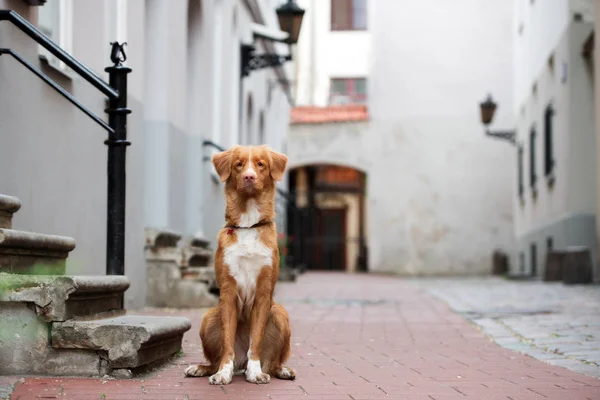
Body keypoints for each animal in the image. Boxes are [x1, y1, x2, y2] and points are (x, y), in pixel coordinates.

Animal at [184, 146, 294, 384]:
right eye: (238, 164)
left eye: (260, 164)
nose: (249, 177)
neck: (248, 226)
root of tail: (240, 365)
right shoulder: (227, 291)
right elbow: (227, 343)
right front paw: (222, 373)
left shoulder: (263, 292)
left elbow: (256, 342)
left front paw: (255, 372)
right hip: (209, 317)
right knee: (214, 359)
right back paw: (201, 368)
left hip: (279, 312)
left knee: (272, 363)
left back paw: (282, 370)